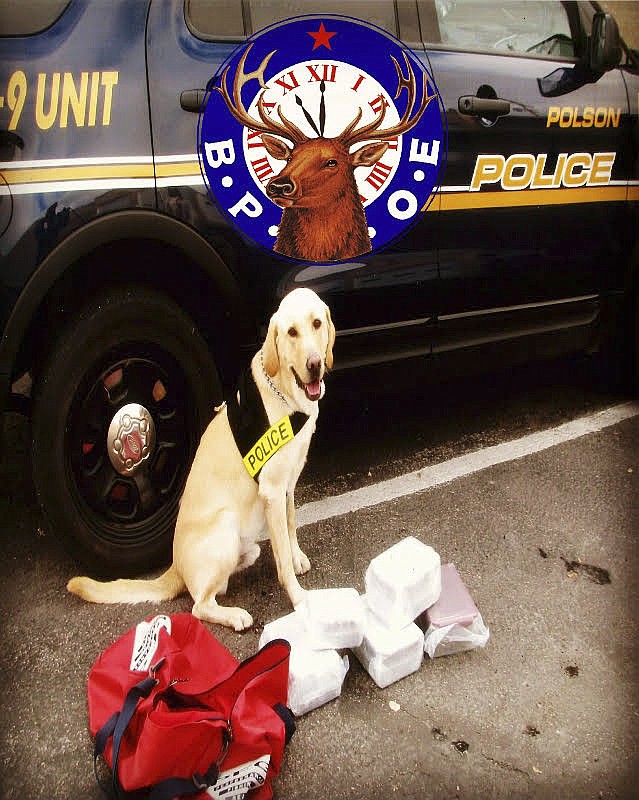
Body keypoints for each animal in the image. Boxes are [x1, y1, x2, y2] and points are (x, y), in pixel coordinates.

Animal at [66, 288, 336, 632]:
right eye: (291, 332)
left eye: (317, 323)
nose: (314, 364)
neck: (286, 396)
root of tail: (175, 567)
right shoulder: (272, 490)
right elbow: (283, 561)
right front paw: (298, 596)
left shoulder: (288, 483)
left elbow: (290, 526)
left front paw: (296, 555)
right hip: (225, 524)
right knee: (199, 605)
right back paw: (233, 614)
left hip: (245, 545)